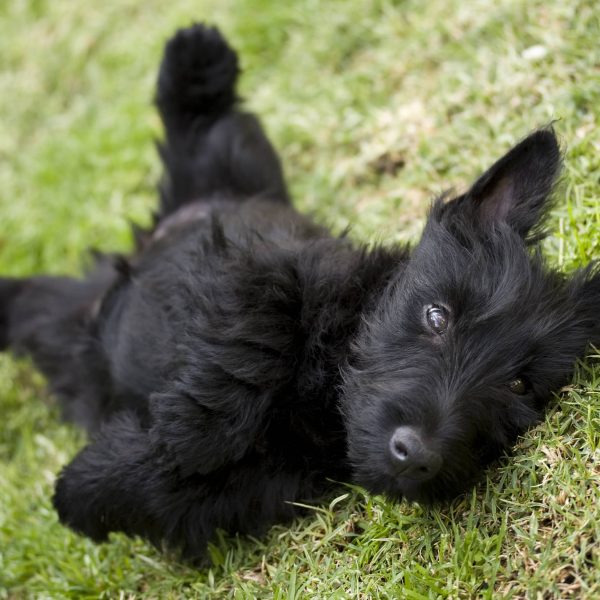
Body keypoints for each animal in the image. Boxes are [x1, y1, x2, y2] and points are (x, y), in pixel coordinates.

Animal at [1, 22, 600, 556]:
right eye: (436, 316)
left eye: (520, 386)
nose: (415, 454)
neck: (325, 398)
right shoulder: (255, 269)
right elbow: (256, 341)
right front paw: (183, 431)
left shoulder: (258, 487)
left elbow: (165, 489)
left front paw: (86, 487)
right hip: (237, 167)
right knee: (204, 126)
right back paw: (197, 53)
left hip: (57, 322)